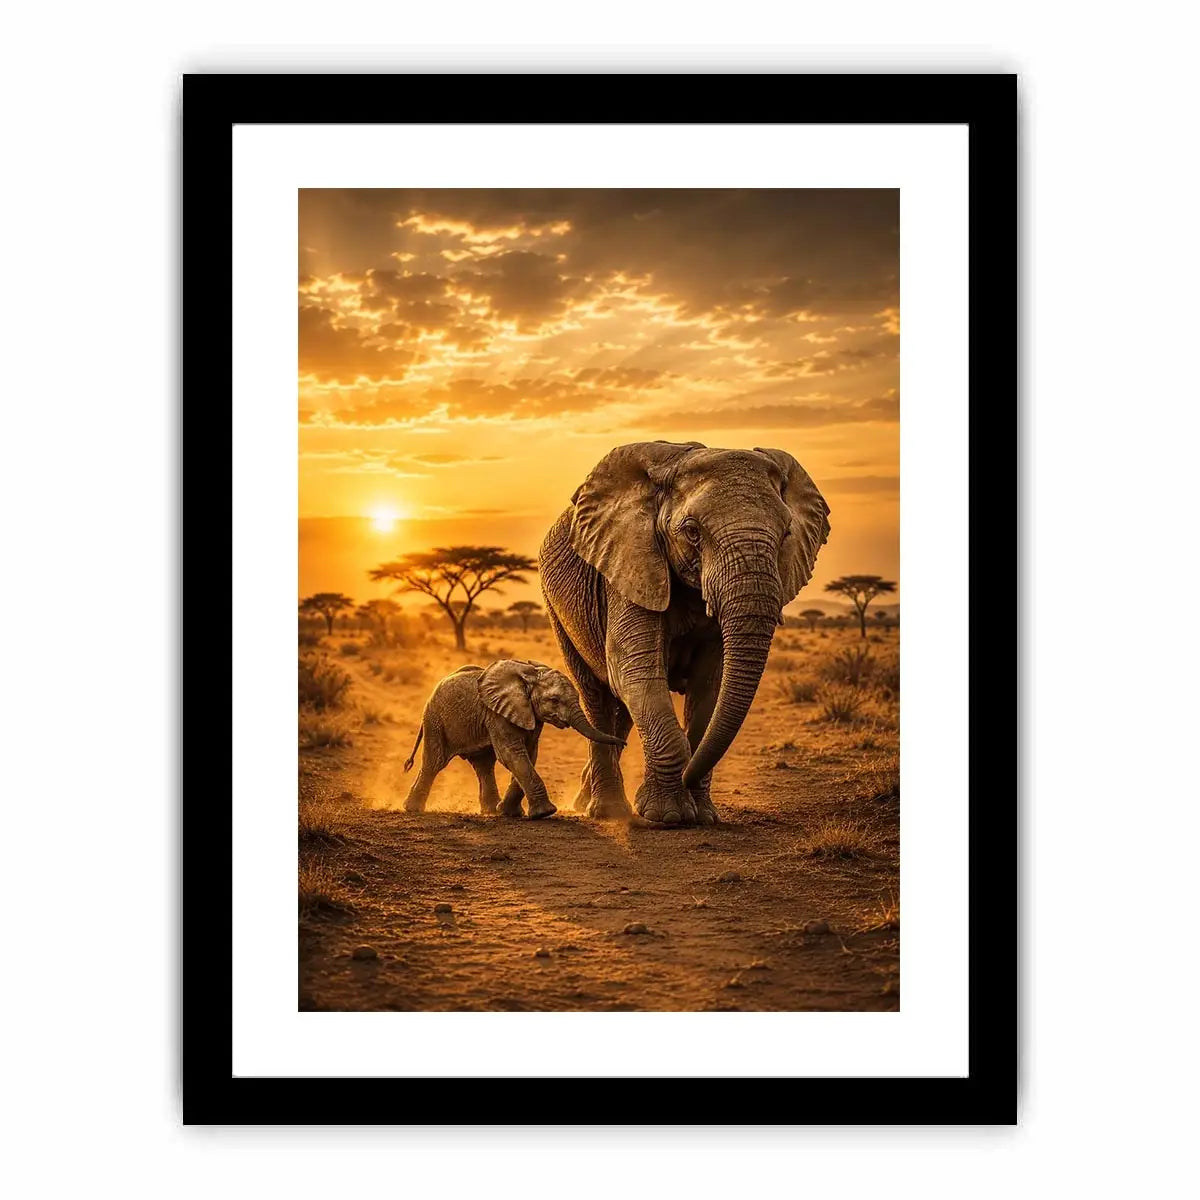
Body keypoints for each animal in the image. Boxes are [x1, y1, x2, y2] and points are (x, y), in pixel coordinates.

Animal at [401, 660, 626, 818]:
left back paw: (491, 810)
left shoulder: (529, 714)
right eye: (554, 700)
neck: (530, 675)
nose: (624, 742)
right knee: (434, 762)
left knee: (484, 765)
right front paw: (545, 813)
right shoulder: (497, 714)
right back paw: (412, 809)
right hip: (434, 720)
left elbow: (529, 753)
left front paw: (509, 812)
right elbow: (511, 754)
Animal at [539, 441, 830, 827]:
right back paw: (607, 811)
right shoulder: (632, 564)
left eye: (786, 534)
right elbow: (634, 671)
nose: (689, 776)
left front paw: (702, 815)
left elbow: (710, 684)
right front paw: (669, 815)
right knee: (596, 694)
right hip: (558, 609)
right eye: (692, 531)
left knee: (622, 709)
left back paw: (590, 800)